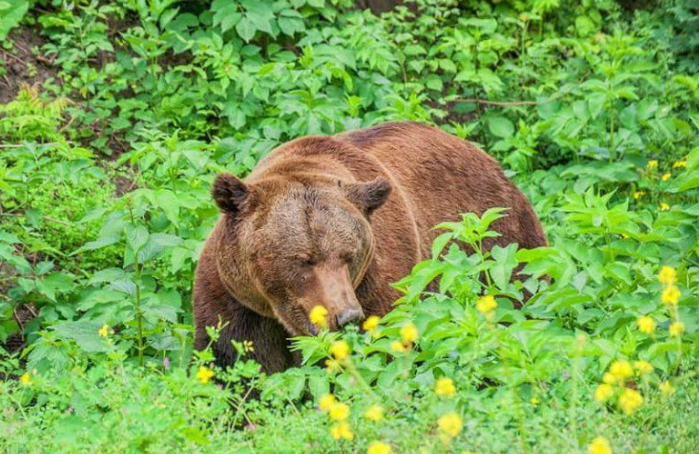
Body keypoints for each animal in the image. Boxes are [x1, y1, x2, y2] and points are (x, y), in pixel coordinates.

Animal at [194, 120, 548, 372]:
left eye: (348, 255)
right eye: (303, 259)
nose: (346, 316)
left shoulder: (380, 283)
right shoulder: (236, 297)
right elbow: (234, 361)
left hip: (503, 244)